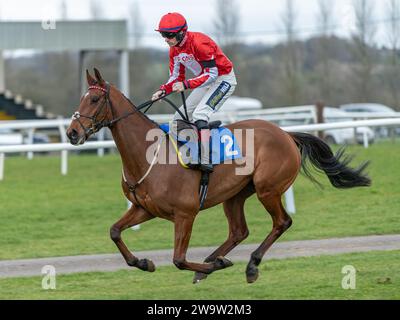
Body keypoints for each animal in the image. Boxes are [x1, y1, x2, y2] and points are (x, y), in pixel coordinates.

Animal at [66, 69, 372, 284]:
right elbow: (115, 231)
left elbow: (178, 259)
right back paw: (212, 263)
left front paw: (211, 265)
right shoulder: (145, 208)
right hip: (235, 194)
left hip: (267, 189)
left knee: (281, 222)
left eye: (94, 99)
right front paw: (145, 263)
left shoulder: (185, 214)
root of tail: (286, 134)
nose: (71, 132)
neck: (148, 154)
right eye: (81, 98)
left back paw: (248, 265)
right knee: (239, 231)